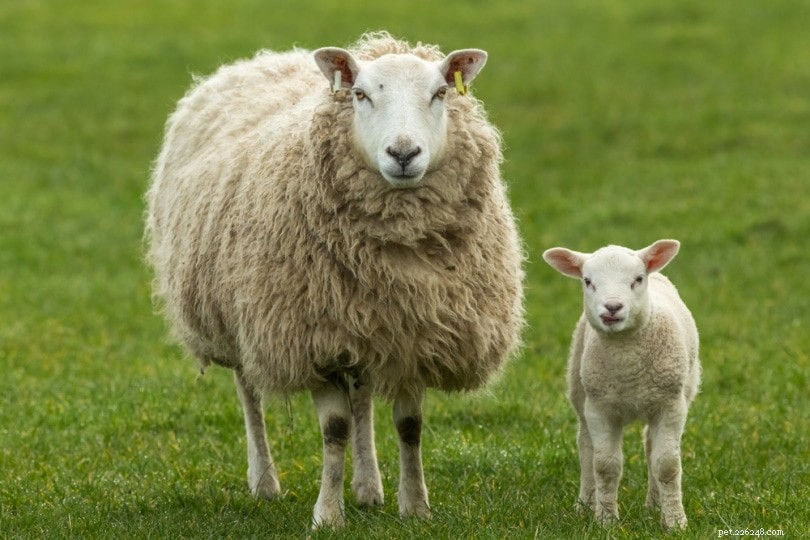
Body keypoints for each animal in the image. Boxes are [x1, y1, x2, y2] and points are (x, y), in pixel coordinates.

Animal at [145, 32, 524, 529]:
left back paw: (368, 487)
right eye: (360, 95)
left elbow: (409, 427)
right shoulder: (312, 338)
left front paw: (415, 506)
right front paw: (327, 513)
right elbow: (334, 428)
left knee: (361, 397)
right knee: (250, 393)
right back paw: (264, 482)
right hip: (239, 318)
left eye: (440, 93)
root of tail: (266, 58)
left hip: (359, 325)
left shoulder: (415, 333)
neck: (398, 257)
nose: (404, 154)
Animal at [542, 239, 700, 529]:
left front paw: (675, 521)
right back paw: (585, 504)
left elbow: (667, 465)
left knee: (649, 447)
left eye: (637, 279)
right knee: (586, 448)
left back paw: (655, 505)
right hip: (580, 391)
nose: (612, 307)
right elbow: (605, 466)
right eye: (588, 281)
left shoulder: (671, 405)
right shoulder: (600, 408)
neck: (629, 366)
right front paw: (606, 520)